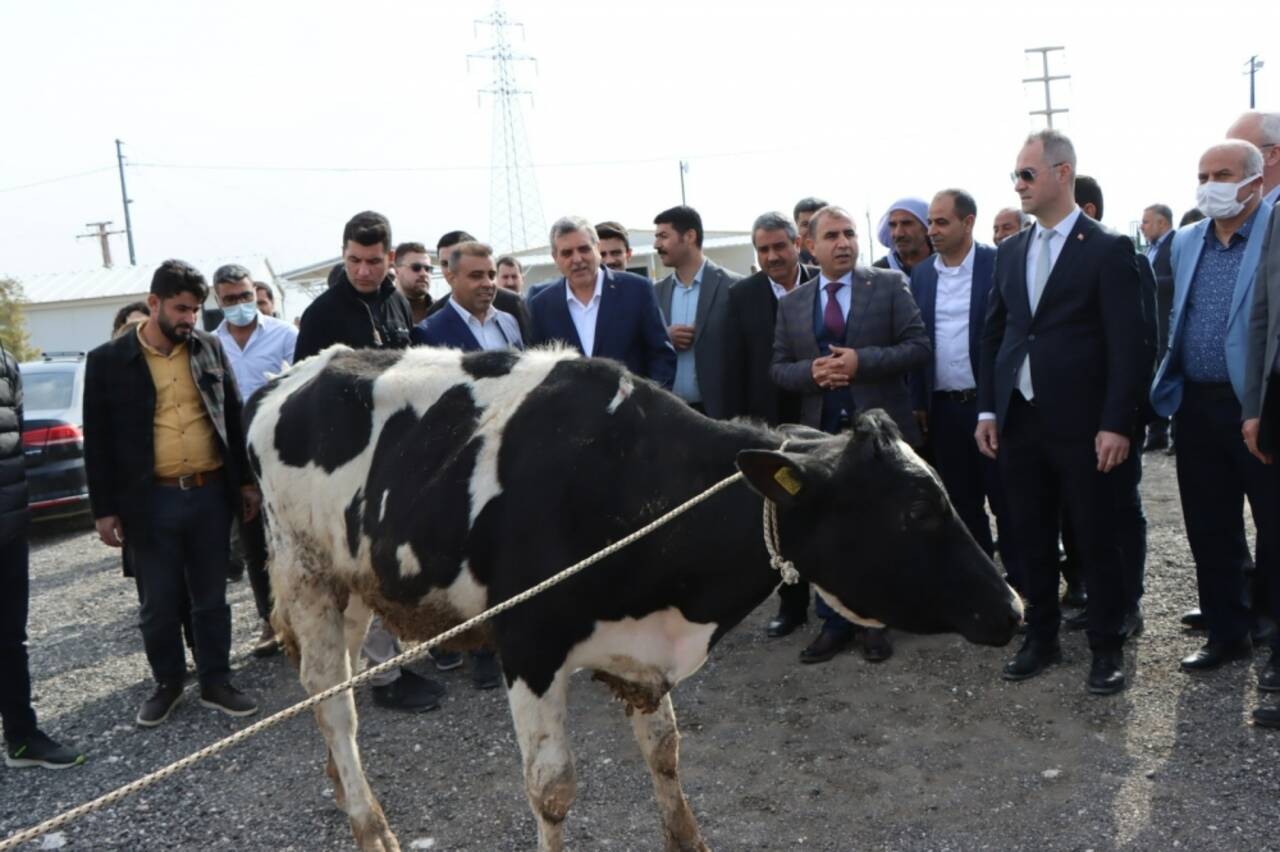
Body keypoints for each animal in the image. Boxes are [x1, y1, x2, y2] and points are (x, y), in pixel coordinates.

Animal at [247, 342, 1018, 849]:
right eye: (917, 509)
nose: (1013, 607)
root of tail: (291, 373)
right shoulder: (528, 646)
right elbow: (551, 788)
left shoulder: (644, 656)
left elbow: (667, 755)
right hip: (305, 575)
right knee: (336, 708)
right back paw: (371, 827)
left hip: (354, 588)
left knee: (329, 696)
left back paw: (344, 793)